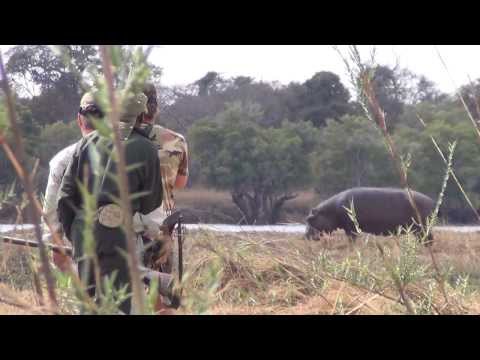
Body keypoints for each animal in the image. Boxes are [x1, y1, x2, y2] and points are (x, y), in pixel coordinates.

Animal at [306, 188, 436, 245]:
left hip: (422, 227)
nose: (306, 236)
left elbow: (351, 238)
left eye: (309, 219)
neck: (329, 211)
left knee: (428, 238)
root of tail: (432, 201)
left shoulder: (350, 227)